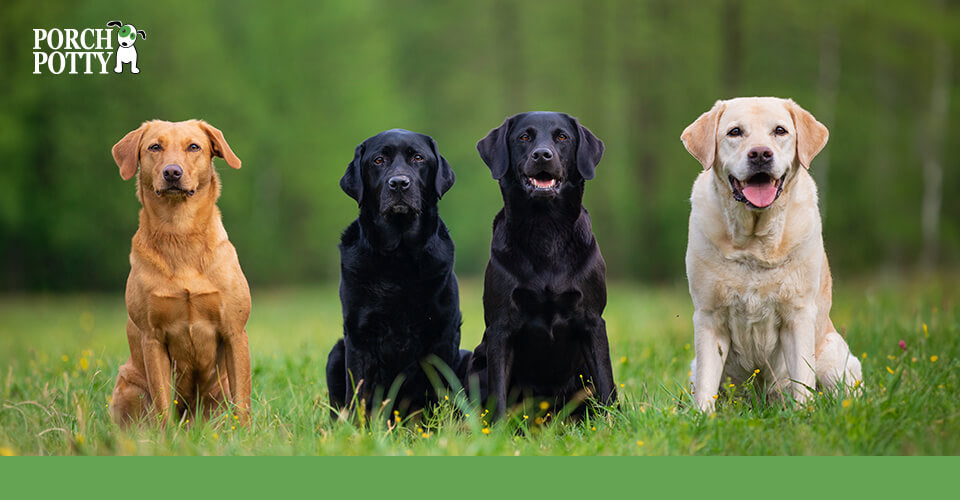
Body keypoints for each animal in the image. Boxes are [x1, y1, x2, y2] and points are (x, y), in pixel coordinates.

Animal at [109, 119, 251, 424]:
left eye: (194, 146)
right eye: (154, 147)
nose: (172, 172)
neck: (180, 232)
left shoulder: (235, 331)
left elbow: (242, 401)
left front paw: (246, 432)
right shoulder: (152, 338)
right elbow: (163, 402)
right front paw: (166, 435)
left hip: (218, 391)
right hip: (129, 383)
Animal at [326, 128, 468, 418]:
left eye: (418, 158)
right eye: (378, 160)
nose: (399, 183)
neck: (399, 258)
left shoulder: (444, 332)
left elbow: (441, 392)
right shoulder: (359, 336)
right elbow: (359, 392)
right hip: (336, 352)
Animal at [468, 112, 620, 418]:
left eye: (562, 137)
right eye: (524, 137)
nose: (542, 155)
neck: (545, 229)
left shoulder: (592, 321)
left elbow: (606, 382)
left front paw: (614, 422)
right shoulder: (500, 328)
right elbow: (498, 392)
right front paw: (498, 428)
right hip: (476, 364)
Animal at [680, 96, 868, 410]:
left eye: (780, 131)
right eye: (735, 132)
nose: (760, 154)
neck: (754, 243)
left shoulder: (798, 314)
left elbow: (802, 378)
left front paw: (803, 415)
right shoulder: (709, 316)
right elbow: (707, 384)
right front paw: (702, 417)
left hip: (835, 358)